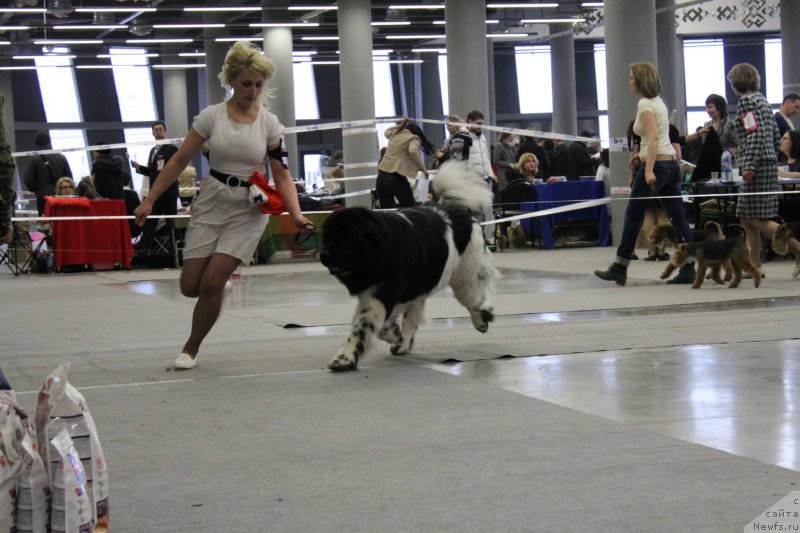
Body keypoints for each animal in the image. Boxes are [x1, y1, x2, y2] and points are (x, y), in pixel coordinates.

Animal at [320, 161, 496, 370]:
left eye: (345, 240)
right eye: (326, 238)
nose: (323, 255)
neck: (380, 250)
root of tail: (459, 210)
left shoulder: (380, 295)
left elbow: (361, 327)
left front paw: (344, 358)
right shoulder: (387, 293)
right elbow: (384, 325)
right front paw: (396, 335)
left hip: (464, 278)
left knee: (475, 299)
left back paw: (483, 318)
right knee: (415, 313)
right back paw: (403, 344)